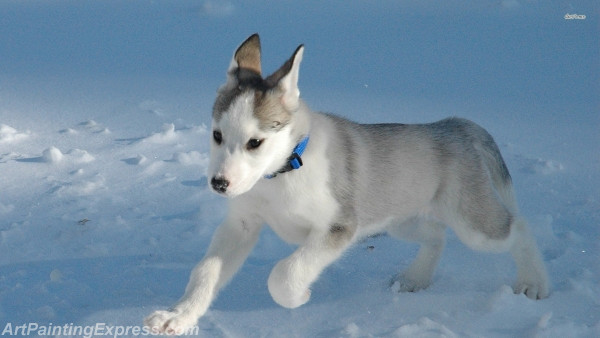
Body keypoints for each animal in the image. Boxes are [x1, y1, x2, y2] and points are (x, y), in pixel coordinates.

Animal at [145, 33, 548, 334]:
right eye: (216, 135)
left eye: (254, 142)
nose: (219, 184)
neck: (283, 172)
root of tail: (455, 125)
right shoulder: (241, 225)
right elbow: (205, 272)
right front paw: (177, 316)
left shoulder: (339, 227)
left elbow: (285, 273)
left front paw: (299, 297)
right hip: (399, 218)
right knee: (437, 234)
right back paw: (415, 279)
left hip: (473, 223)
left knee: (518, 227)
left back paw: (534, 284)